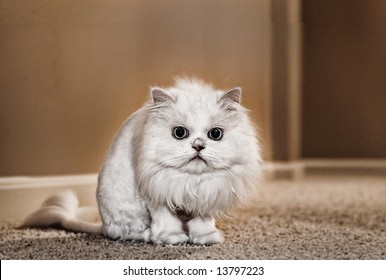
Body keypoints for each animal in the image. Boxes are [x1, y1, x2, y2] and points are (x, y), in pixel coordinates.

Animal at [22, 77, 260, 244]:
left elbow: (202, 223)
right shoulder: (156, 197)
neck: (190, 182)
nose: (199, 145)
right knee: (132, 234)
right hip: (129, 213)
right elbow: (167, 222)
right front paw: (173, 239)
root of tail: (104, 226)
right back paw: (153, 237)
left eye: (215, 134)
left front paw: (206, 239)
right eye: (180, 133)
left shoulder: (208, 197)